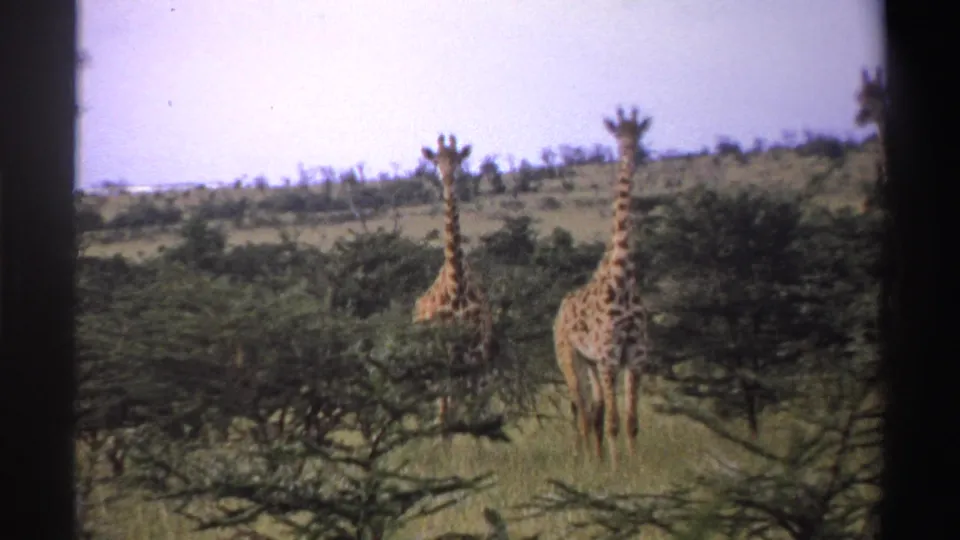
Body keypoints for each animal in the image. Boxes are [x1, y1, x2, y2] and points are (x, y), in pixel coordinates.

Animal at [414, 134, 495, 434]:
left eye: (458, 159)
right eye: (436, 160)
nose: (448, 180)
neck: (457, 287)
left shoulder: (477, 355)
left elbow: (475, 412)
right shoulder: (449, 355)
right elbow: (449, 413)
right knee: (443, 408)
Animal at [553, 106, 652, 467]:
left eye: (638, 133)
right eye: (618, 135)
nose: (630, 153)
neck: (622, 277)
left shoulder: (636, 356)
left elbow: (631, 420)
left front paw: (637, 465)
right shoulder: (609, 356)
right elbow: (612, 421)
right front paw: (616, 468)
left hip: (593, 364)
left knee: (593, 410)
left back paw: (595, 458)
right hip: (570, 359)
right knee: (583, 412)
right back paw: (587, 462)